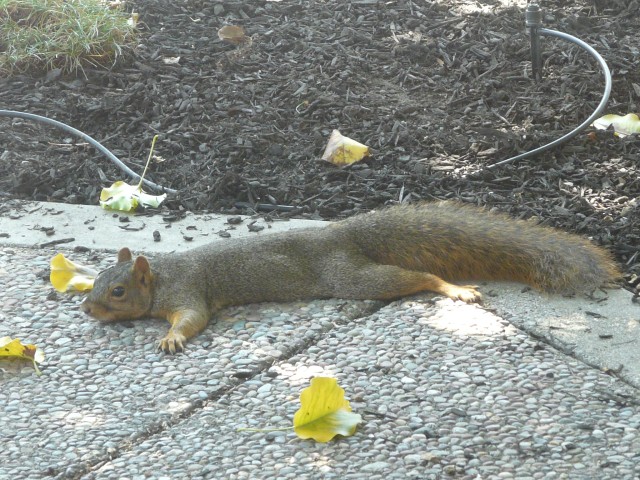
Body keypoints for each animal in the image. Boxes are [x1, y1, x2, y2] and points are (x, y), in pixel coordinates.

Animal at [81, 201, 620, 353]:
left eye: (118, 291)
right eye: (97, 280)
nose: (85, 309)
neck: (163, 274)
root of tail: (344, 233)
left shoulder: (190, 290)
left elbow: (192, 319)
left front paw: (172, 337)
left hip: (352, 277)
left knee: (416, 276)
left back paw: (451, 287)